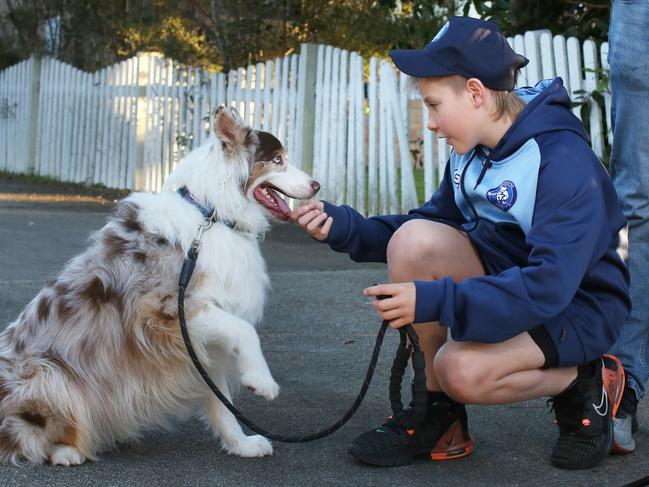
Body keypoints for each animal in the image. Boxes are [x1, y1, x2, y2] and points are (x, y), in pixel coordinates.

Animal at [0, 106, 320, 466]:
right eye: (278, 159)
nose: (317, 185)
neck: (210, 215)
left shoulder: (201, 341)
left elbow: (221, 402)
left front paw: (241, 443)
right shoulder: (165, 308)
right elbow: (244, 331)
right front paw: (260, 380)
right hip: (48, 374)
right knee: (20, 436)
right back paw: (65, 451)